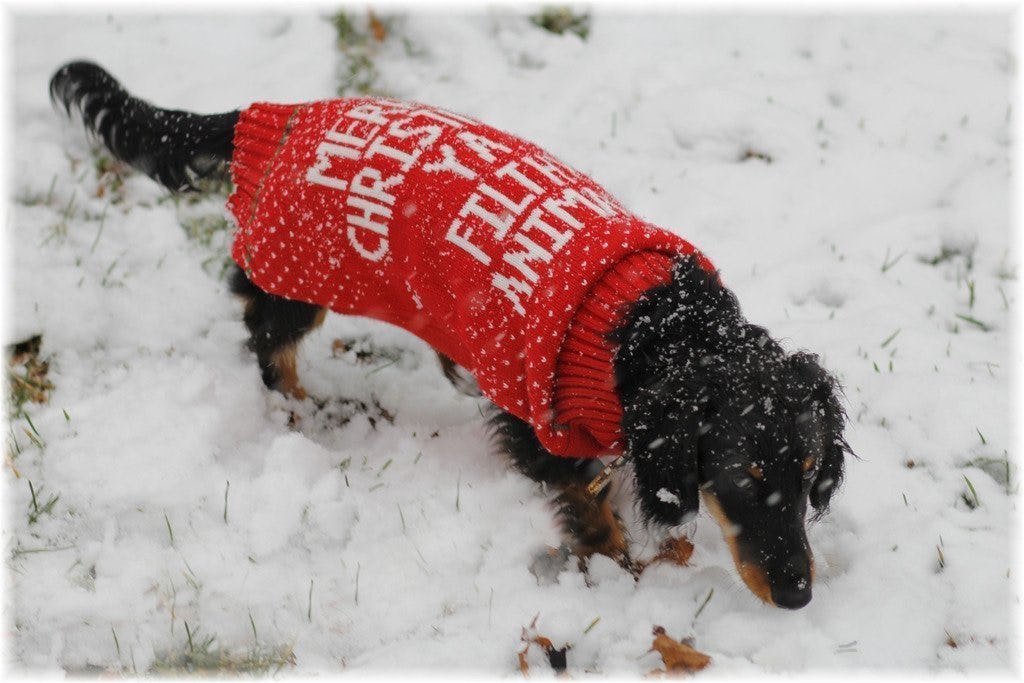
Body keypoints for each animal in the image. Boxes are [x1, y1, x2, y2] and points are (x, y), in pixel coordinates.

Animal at [49, 61, 847, 610]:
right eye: (743, 479)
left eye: (809, 471)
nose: (799, 594)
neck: (653, 326)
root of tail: (271, 114)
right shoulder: (540, 423)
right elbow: (589, 508)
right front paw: (615, 569)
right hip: (296, 279)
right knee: (265, 339)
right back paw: (306, 411)